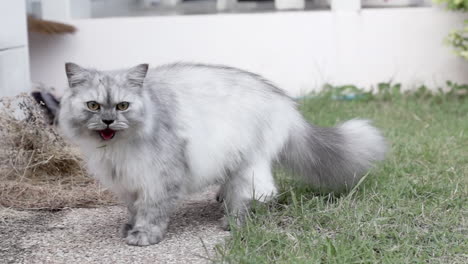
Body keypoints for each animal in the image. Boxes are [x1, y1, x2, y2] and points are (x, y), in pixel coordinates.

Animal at [59, 63, 388, 246]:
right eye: (93, 106)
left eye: (123, 106)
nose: (108, 121)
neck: (116, 147)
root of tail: (286, 105)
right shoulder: (129, 181)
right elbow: (134, 208)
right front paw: (130, 227)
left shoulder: (160, 177)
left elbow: (151, 211)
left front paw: (144, 236)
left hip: (250, 163)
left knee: (257, 194)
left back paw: (233, 222)